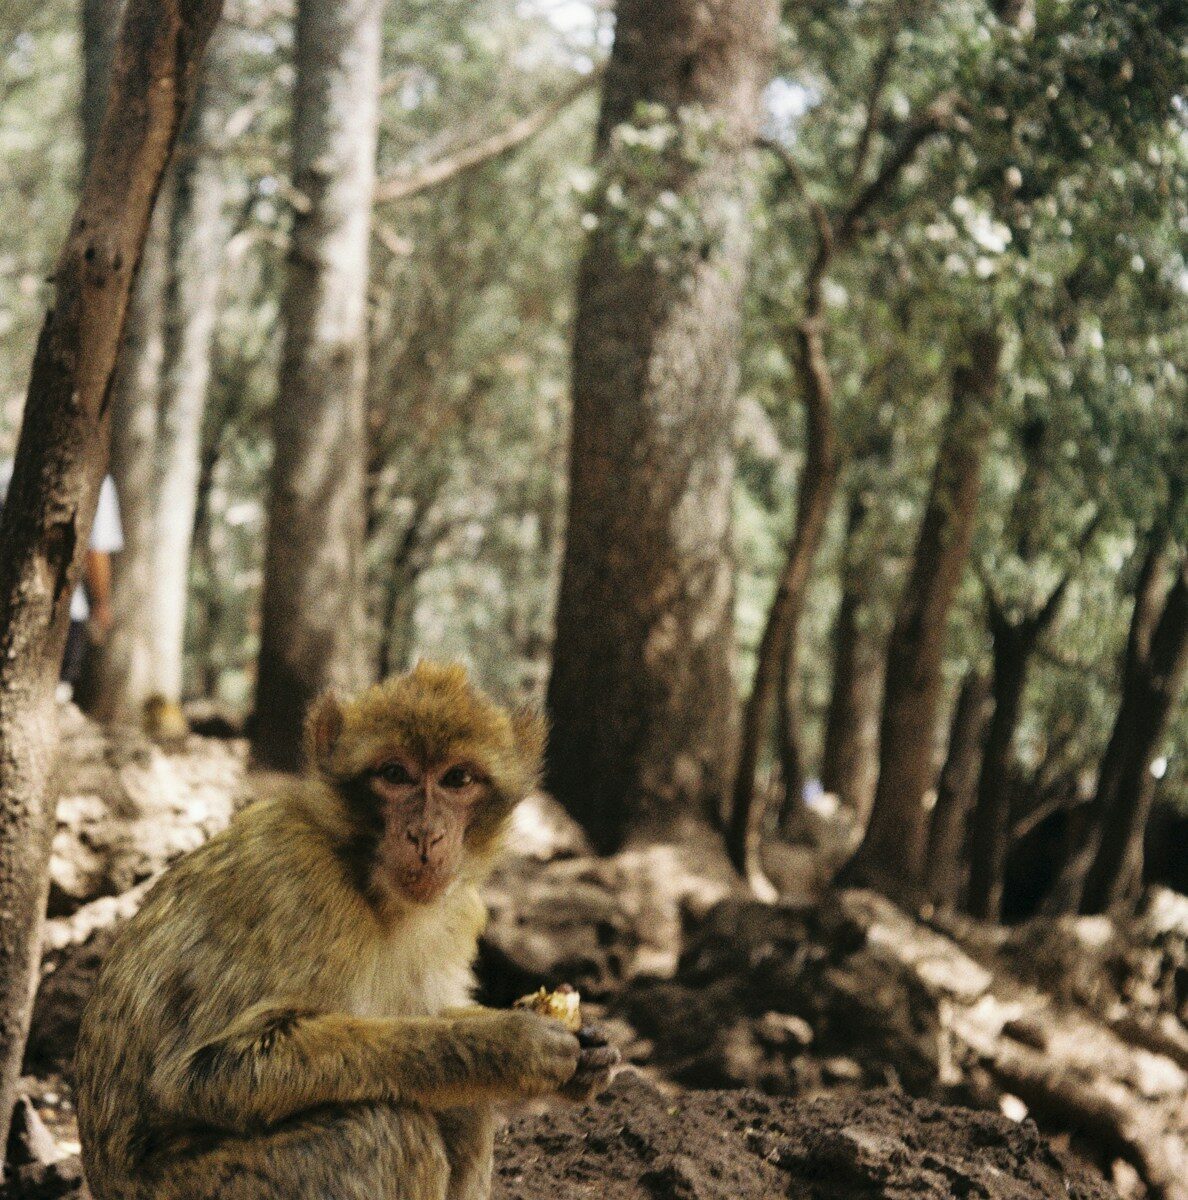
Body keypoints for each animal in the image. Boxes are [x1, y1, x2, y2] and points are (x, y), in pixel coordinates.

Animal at [75, 663, 618, 1200]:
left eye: (457, 778)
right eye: (394, 774)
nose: (426, 835)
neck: (367, 878)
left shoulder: (458, 908)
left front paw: (585, 1049)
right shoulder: (297, 883)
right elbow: (205, 1073)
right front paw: (507, 1046)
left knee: (459, 1107)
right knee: (379, 1129)